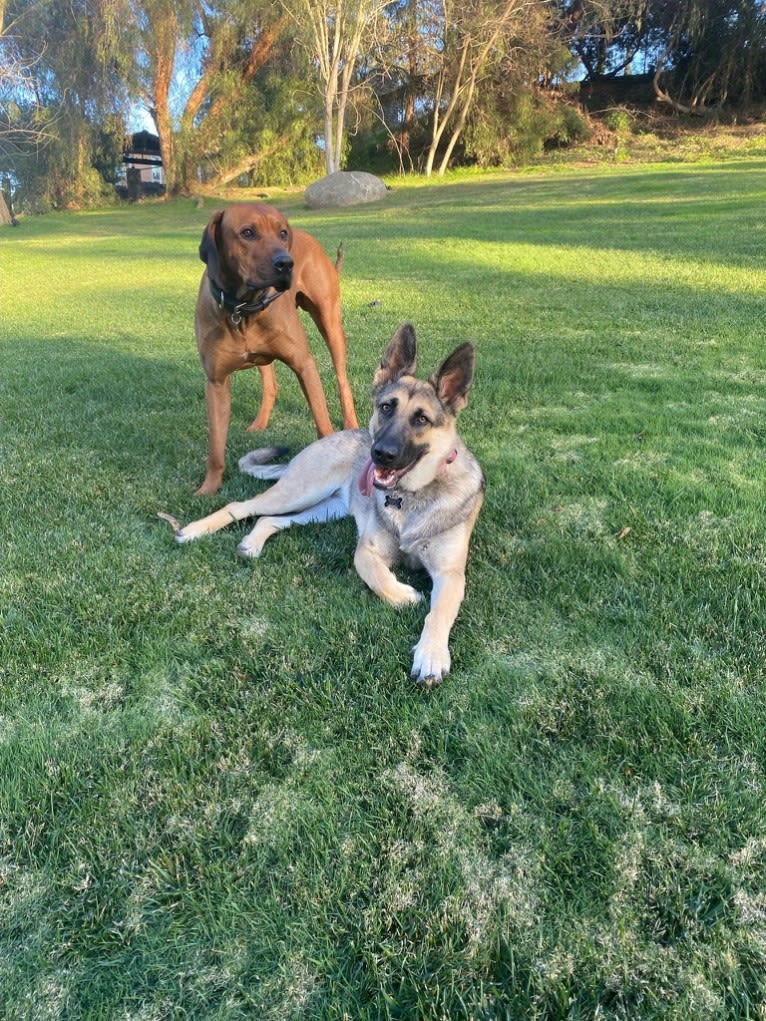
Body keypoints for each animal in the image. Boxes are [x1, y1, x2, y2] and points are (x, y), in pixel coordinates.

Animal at [193, 202, 359, 494]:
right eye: (247, 233)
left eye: (282, 233)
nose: (285, 263)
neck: (243, 309)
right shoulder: (216, 382)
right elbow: (215, 447)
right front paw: (208, 488)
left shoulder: (305, 365)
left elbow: (322, 423)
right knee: (270, 383)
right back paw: (260, 422)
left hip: (329, 321)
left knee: (342, 379)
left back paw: (350, 422)